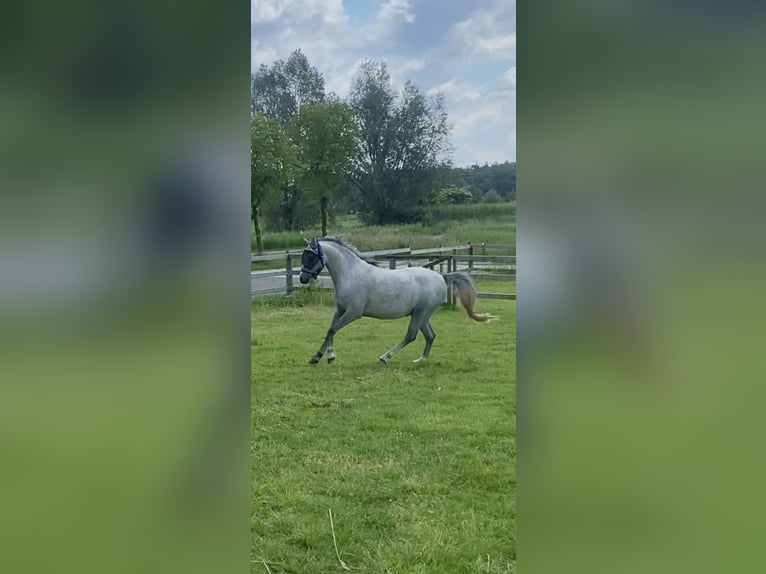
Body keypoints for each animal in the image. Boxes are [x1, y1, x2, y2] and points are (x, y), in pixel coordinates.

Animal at [296, 237, 496, 364]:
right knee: (430, 336)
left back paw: (385, 357)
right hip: (423, 315)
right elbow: (329, 330)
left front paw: (330, 356)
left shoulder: (353, 312)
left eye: (310, 256)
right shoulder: (340, 310)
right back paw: (421, 360)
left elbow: (332, 329)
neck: (351, 273)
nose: (303, 278)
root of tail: (441, 277)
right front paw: (316, 357)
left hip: (421, 313)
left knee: (411, 336)